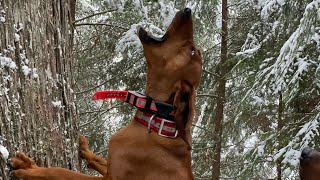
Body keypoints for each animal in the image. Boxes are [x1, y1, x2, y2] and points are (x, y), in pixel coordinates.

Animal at [11, 7, 202, 179]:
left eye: (192, 50)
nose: (188, 10)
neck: (155, 120)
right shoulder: (111, 166)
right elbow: (99, 159)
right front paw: (85, 149)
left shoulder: (111, 178)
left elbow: (62, 172)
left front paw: (31, 168)